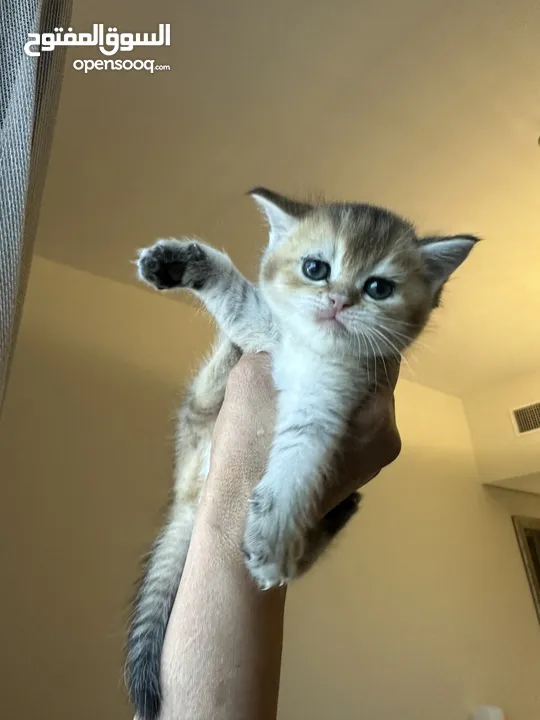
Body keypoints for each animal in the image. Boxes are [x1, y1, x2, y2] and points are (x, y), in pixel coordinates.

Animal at [125, 188, 476, 716]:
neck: (312, 351)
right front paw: (176, 261)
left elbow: (295, 468)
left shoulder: (323, 408)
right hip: (202, 409)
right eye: (316, 268)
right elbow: (237, 296)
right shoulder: (261, 331)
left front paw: (273, 537)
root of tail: (184, 496)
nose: (338, 300)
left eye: (378, 287)